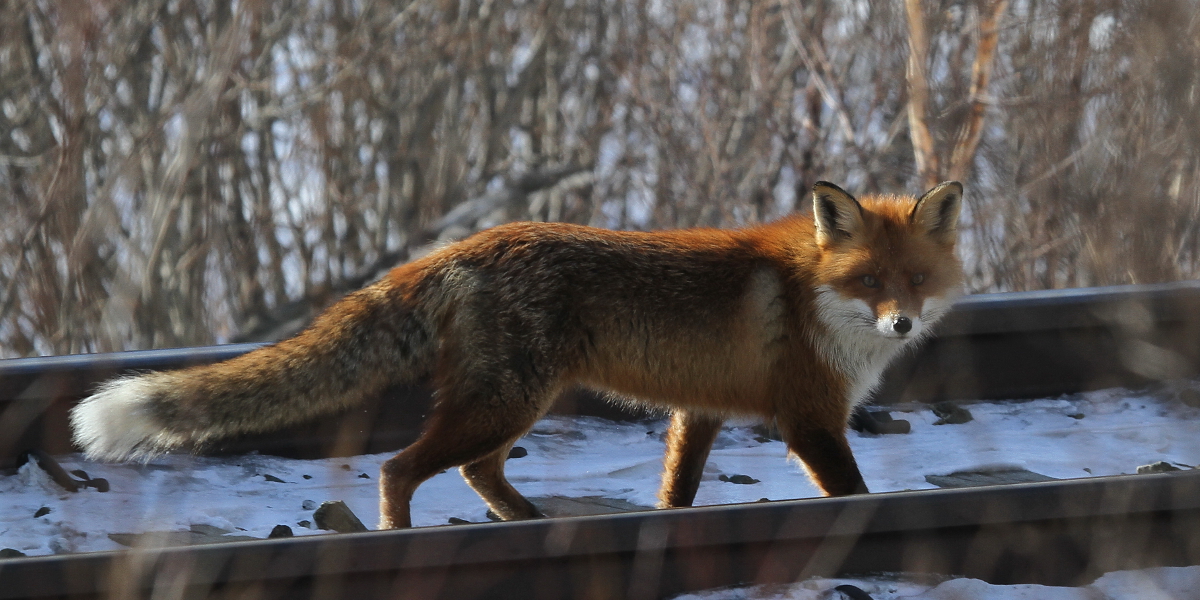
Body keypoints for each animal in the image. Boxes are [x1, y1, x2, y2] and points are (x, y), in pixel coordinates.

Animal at [70, 180, 960, 528]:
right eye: (869, 280)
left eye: (915, 280)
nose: (900, 326)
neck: (812, 293)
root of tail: (463, 245)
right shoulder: (808, 419)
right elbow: (852, 491)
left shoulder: (697, 411)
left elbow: (676, 493)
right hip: (507, 401)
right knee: (401, 468)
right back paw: (400, 536)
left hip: (508, 404)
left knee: (474, 472)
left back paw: (529, 523)